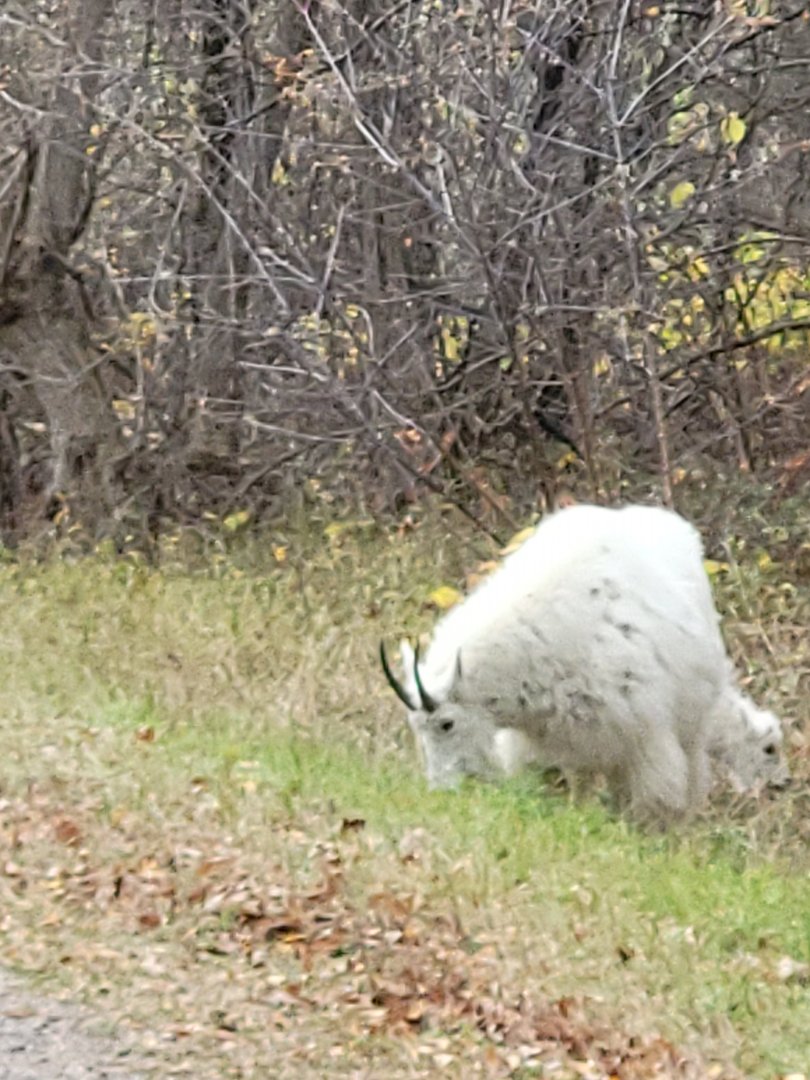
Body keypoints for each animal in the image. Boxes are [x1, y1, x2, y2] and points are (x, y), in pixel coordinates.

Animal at [381, 504, 788, 821]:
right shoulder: (551, 740)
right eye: (417, 727)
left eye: (446, 724)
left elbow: (652, 798)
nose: (443, 791)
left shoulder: (641, 734)